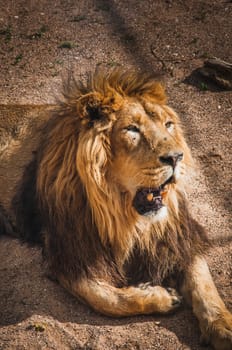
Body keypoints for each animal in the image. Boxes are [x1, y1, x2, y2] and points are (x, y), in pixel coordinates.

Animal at [14, 69, 232, 350]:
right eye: (132, 129)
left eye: (168, 125)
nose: (176, 157)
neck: (127, 219)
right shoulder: (69, 251)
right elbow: (106, 298)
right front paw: (163, 297)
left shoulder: (179, 237)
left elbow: (205, 287)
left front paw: (223, 326)